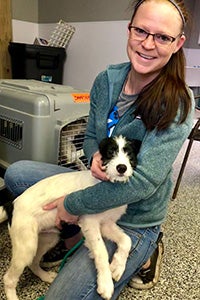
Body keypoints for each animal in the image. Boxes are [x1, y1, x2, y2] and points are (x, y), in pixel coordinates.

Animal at [2, 136, 141, 300]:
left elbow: (127, 240)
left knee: (33, 263)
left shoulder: (106, 224)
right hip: (26, 245)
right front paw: (106, 283)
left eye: (129, 154)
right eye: (110, 152)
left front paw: (117, 267)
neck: (107, 185)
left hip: (48, 238)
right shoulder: (90, 223)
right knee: (9, 278)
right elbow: (101, 251)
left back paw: (45, 276)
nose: (121, 168)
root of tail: (12, 204)